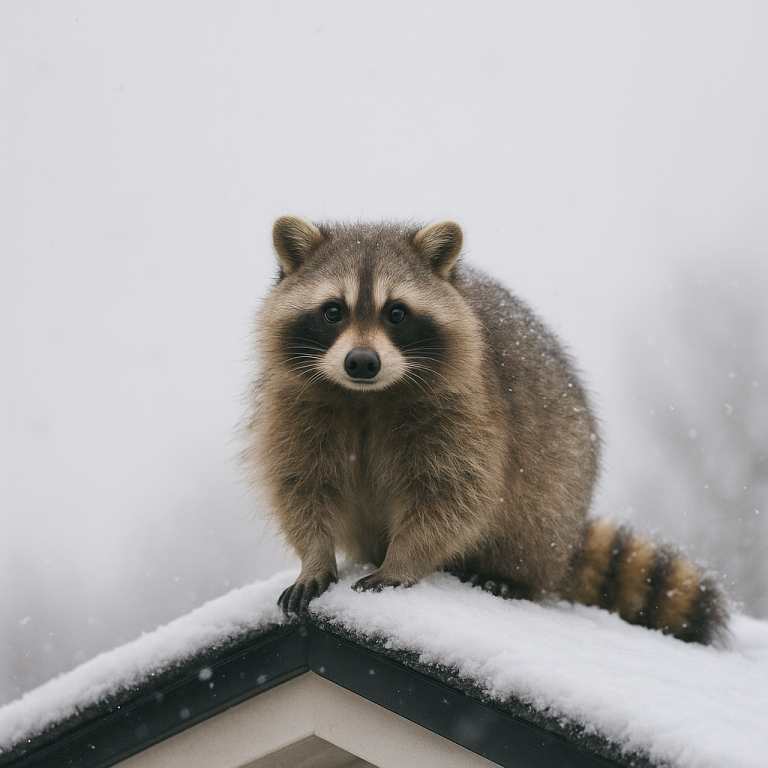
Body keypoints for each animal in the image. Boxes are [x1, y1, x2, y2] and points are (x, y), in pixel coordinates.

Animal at [243, 216, 728, 645]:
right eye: (333, 312)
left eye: (396, 313)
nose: (362, 362)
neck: (366, 395)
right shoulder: (294, 409)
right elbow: (301, 486)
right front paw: (315, 558)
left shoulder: (467, 410)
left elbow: (451, 495)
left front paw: (403, 559)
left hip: (556, 490)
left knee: (532, 515)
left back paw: (508, 575)